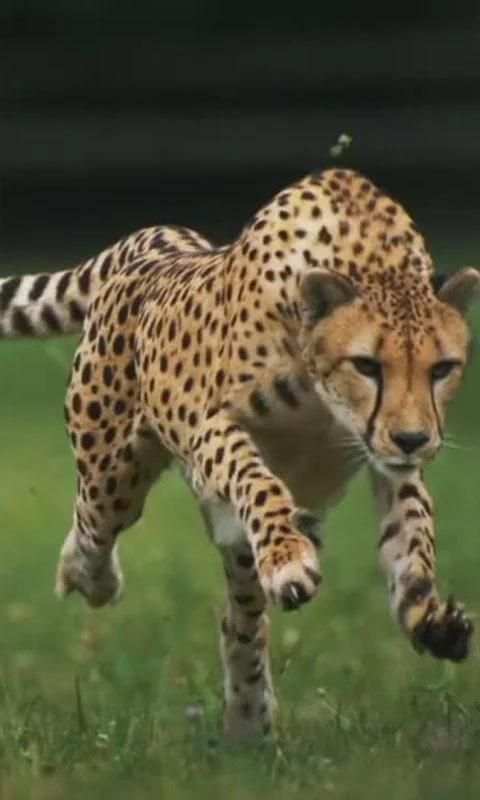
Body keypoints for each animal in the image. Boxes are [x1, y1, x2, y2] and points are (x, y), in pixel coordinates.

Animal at [1, 168, 478, 739]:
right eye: (366, 365)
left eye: (442, 369)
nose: (413, 439)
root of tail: (153, 239)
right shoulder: (213, 429)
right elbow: (257, 480)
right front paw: (290, 558)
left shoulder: (392, 464)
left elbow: (412, 535)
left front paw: (428, 616)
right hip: (111, 473)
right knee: (93, 529)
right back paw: (90, 577)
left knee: (240, 619)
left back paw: (248, 717)